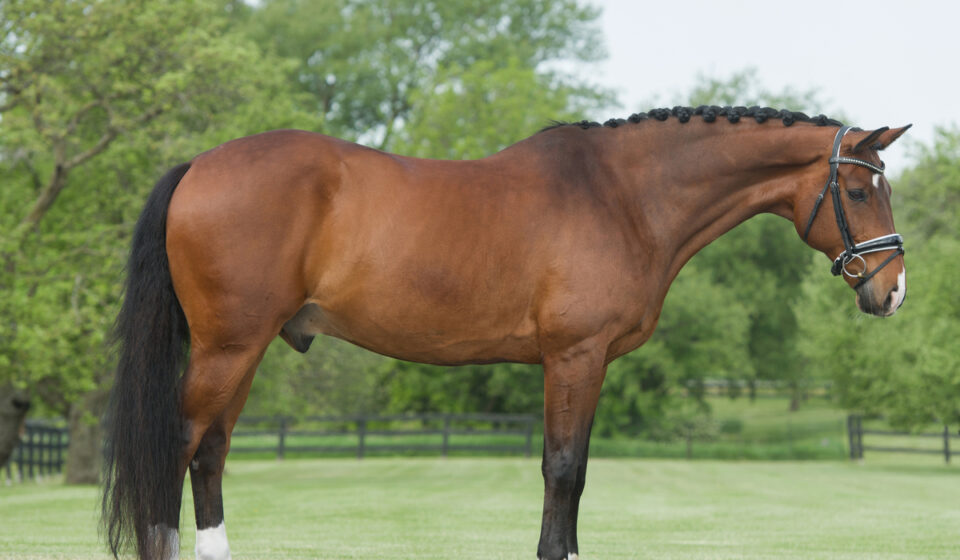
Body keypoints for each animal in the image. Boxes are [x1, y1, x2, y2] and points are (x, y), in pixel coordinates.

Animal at [101, 105, 909, 560]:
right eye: (858, 189)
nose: (893, 289)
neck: (622, 196)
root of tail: (198, 166)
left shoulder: (589, 362)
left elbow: (574, 473)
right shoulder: (574, 357)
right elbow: (563, 470)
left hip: (243, 351)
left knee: (209, 453)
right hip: (228, 347)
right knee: (178, 446)